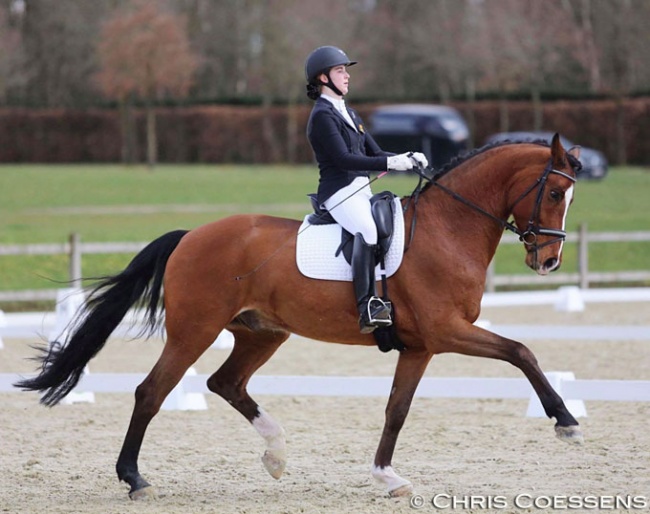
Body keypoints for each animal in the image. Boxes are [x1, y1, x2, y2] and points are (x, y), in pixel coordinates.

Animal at [15, 131, 584, 496]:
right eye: (555, 192)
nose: (549, 261)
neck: (449, 228)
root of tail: (192, 235)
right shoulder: (447, 331)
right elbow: (521, 351)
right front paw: (566, 422)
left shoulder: (422, 346)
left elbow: (396, 410)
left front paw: (385, 476)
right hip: (194, 331)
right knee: (152, 392)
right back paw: (134, 478)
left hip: (262, 333)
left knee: (225, 383)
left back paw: (277, 454)